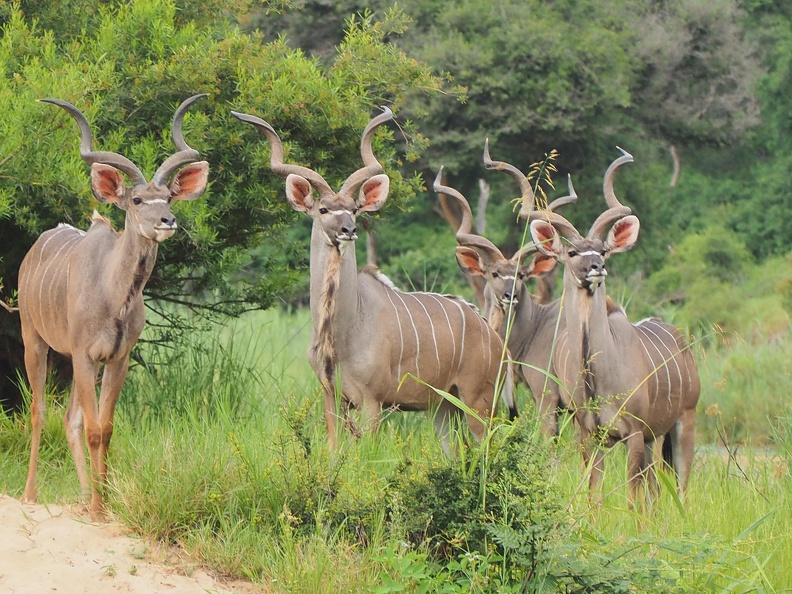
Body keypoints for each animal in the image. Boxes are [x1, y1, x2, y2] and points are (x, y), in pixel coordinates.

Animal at [19, 93, 210, 520]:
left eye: (168, 198)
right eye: (137, 200)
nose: (167, 221)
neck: (113, 297)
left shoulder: (117, 358)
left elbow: (105, 428)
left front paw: (101, 502)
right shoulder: (86, 355)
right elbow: (93, 429)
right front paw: (96, 507)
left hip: (70, 359)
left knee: (69, 418)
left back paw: (82, 493)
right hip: (33, 340)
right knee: (40, 411)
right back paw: (30, 494)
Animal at [232, 106, 516, 448]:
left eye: (354, 209)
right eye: (323, 210)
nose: (349, 230)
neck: (344, 331)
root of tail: (497, 341)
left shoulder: (372, 402)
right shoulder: (331, 397)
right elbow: (333, 450)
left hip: (480, 402)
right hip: (444, 407)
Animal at [524, 149, 700, 504]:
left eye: (604, 250)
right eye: (572, 252)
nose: (597, 267)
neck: (598, 376)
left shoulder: (633, 432)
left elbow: (632, 495)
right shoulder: (590, 434)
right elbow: (595, 493)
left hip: (683, 422)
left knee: (681, 486)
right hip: (653, 438)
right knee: (656, 488)